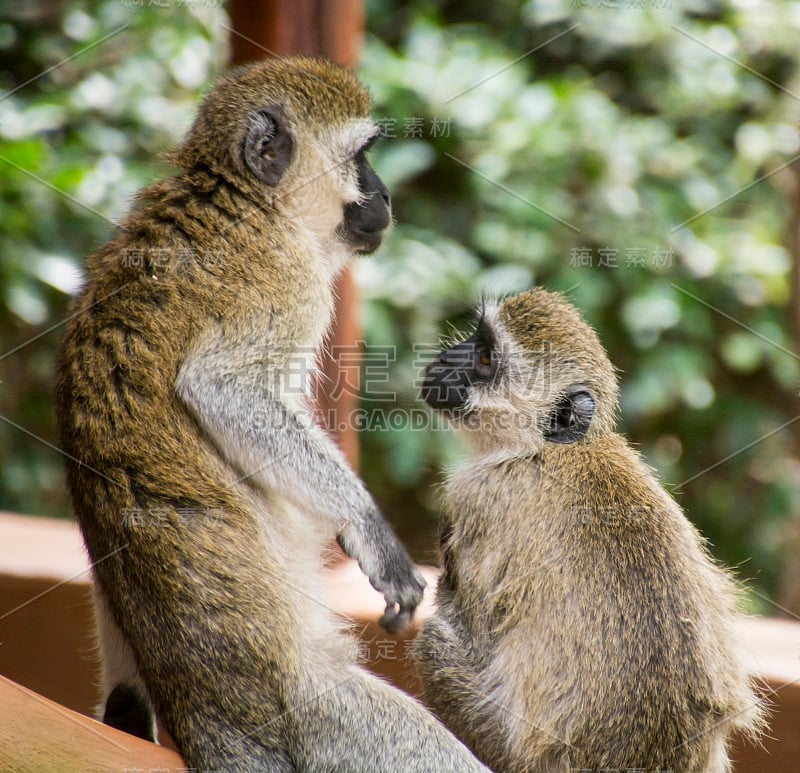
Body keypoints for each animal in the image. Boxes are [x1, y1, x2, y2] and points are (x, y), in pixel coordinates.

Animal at [412, 288, 764, 772]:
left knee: (434, 642)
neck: (548, 449)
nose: (446, 358)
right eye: (474, 339)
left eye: (484, 358)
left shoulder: (477, 496)